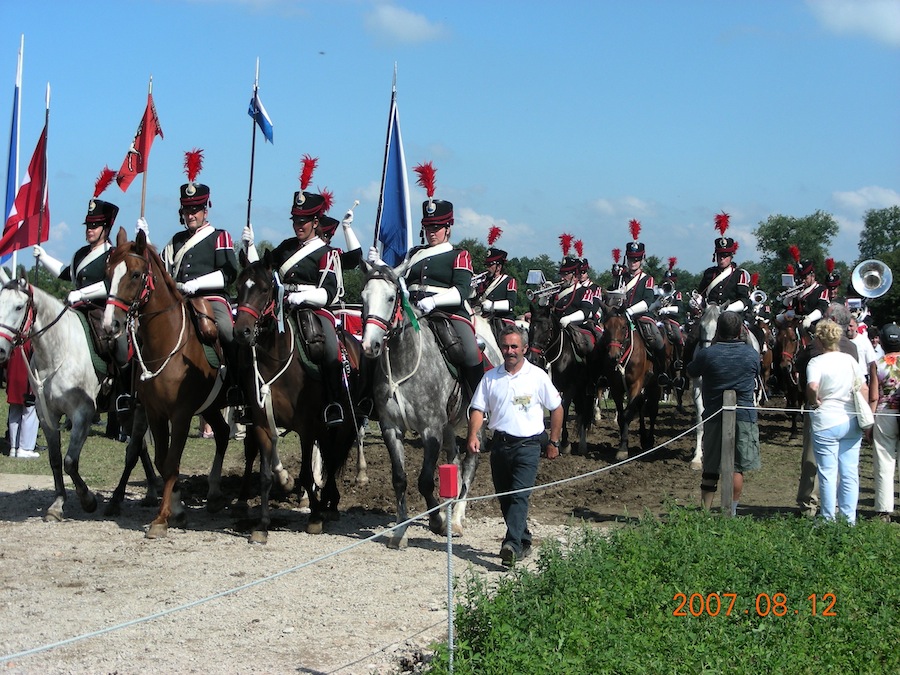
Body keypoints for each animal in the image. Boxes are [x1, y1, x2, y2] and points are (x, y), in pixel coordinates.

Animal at [102, 231, 232, 540]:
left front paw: (162, 518)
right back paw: (214, 494)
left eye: (136, 274)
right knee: (223, 433)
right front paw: (178, 510)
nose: (110, 326)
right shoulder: (155, 413)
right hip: (210, 407)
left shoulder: (181, 415)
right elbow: (162, 460)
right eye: (108, 274)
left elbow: (172, 462)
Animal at [232, 252, 362, 544]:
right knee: (328, 454)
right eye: (239, 286)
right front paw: (262, 525)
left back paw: (329, 504)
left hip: (343, 421)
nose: (241, 332)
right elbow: (266, 475)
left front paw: (314, 517)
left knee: (332, 456)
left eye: (265, 289)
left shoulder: (307, 426)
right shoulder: (262, 424)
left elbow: (305, 472)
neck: (275, 360)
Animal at [358, 262, 502, 548]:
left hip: (475, 423)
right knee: (454, 459)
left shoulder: (430, 429)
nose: (370, 345)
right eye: (363, 297)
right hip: (448, 424)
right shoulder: (392, 428)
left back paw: (455, 519)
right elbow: (399, 479)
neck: (404, 362)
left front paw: (436, 521)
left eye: (390, 298)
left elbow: (425, 481)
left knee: (470, 463)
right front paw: (400, 531)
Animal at [600, 308, 664, 462]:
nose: (613, 356)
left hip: (654, 386)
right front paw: (623, 444)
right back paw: (643, 438)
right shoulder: (616, 388)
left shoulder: (636, 384)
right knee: (641, 407)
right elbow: (621, 416)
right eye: (606, 328)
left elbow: (628, 414)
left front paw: (623, 449)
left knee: (652, 410)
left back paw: (650, 441)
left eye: (623, 327)